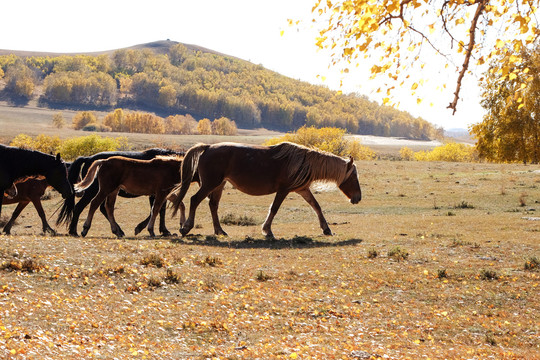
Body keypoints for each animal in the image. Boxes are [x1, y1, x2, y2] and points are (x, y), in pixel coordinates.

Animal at [170, 141, 362, 239]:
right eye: (353, 177)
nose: (358, 198)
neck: (302, 162)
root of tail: (208, 147)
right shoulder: (284, 190)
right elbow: (274, 209)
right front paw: (267, 230)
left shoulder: (303, 190)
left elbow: (316, 206)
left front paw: (326, 228)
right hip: (210, 184)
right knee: (195, 200)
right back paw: (186, 228)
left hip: (219, 185)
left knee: (213, 205)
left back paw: (220, 231)